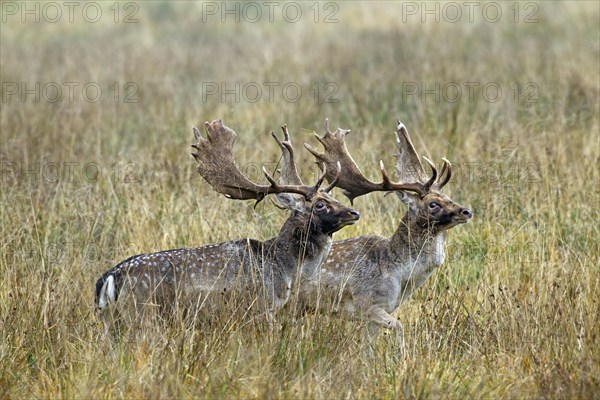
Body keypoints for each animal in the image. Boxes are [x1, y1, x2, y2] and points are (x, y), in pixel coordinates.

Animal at [94, 119, 360, 334]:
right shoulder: (260, 308)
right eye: (320, 205)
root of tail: (110, 277)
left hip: (110, 321)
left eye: (334, 197)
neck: (284, 269)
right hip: (143, 314)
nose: (354, 212)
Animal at [300, 118, 474, 346]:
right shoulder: (365, 303)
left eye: (447, 196)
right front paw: (402, 353)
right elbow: (399, 327)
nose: (467, 211)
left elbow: (368, 347)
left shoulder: (380, 311)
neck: (400, 277)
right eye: (433, 204)